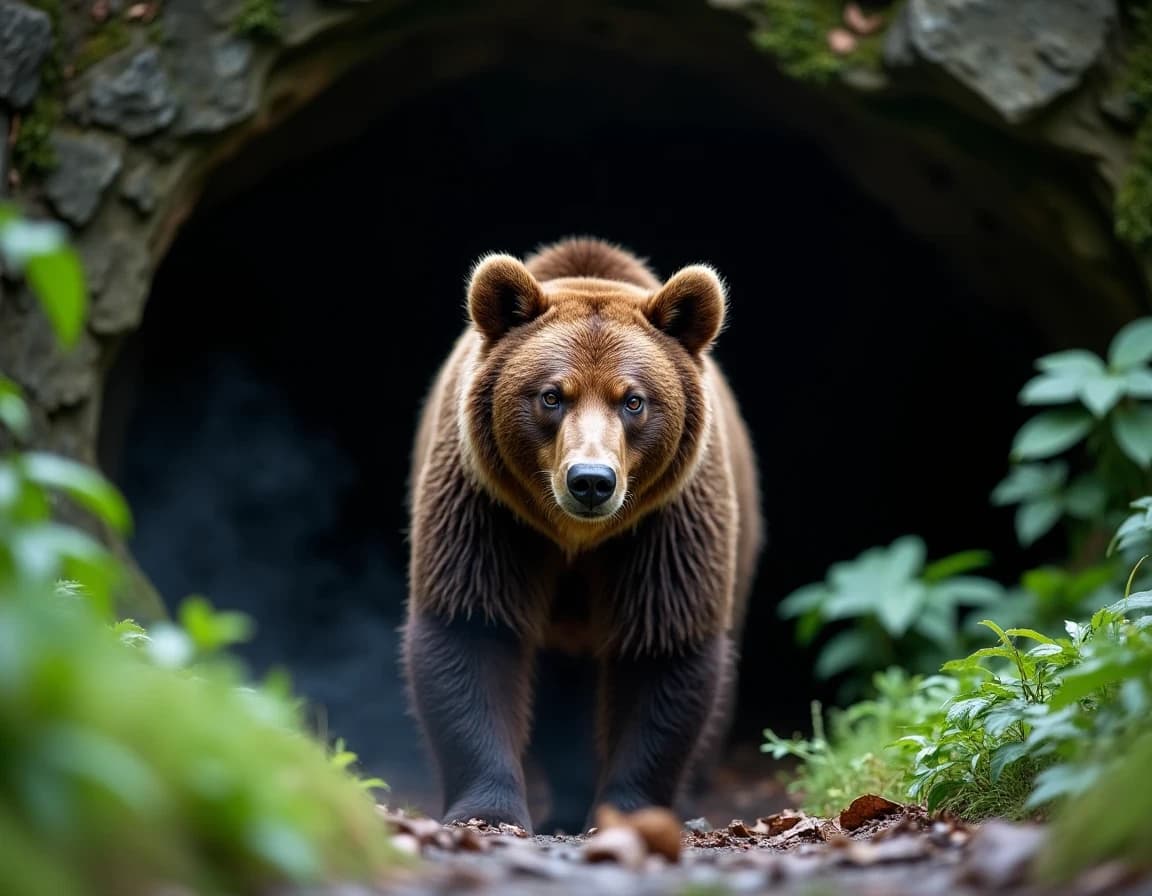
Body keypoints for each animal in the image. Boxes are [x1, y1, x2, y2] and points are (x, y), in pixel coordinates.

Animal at [402, 236, 763, 835]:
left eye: (633, 399)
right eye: (552, 395)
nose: (591, 480)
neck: (577, 538)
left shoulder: (666, 525)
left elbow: (663, 649)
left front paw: (631, 809)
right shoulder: (488, 511)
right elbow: (471, 630)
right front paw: (487, 810)